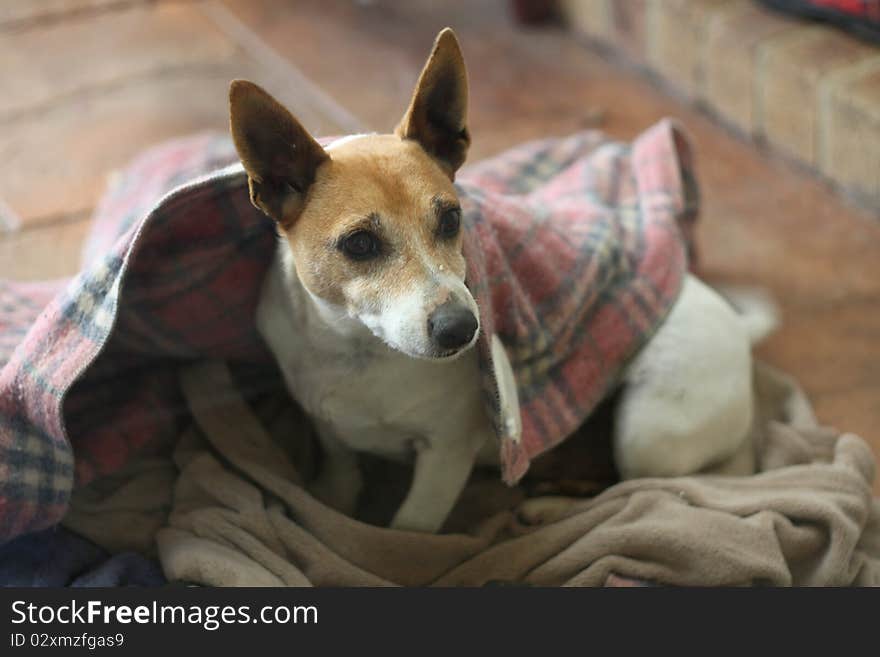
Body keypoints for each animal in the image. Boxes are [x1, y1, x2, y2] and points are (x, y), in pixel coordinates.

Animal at [229, 29, 776, 532]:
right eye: (360, 244)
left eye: (451, 219)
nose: (462, 329)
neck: (356, 350)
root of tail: (736, 328)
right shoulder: (328, 427)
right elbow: (340, 472)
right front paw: (327, 504)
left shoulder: (444, 458)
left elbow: (409, 528)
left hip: (646, 432)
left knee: (649, 487)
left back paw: (551, 507)